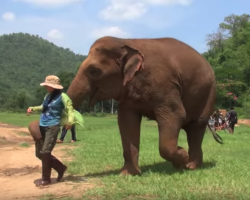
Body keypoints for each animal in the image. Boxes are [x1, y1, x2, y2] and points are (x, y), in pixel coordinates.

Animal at [66, 36, 223, 175]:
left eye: (94, 71)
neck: (127, 42)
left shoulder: (165, 84)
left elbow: (175, 114)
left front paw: (181, 157)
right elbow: (127, 121)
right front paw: (128, 174)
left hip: (209, 92)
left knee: (197, 125)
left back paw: (190, 166)